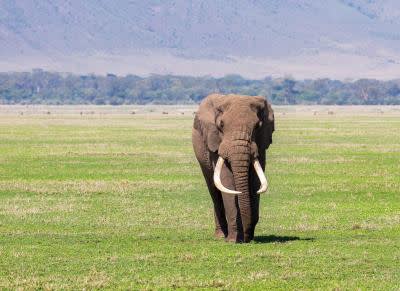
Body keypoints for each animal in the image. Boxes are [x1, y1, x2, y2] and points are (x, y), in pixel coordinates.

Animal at [191, 94, 274, 244]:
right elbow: (227, 181)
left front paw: (247, 237)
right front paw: (233, 240)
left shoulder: (261, 144)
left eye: (258, 126)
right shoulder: (216, 142)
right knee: (214, 191)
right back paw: (221, 236)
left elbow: (255, 182)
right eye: (221, 125)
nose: (247, 239)